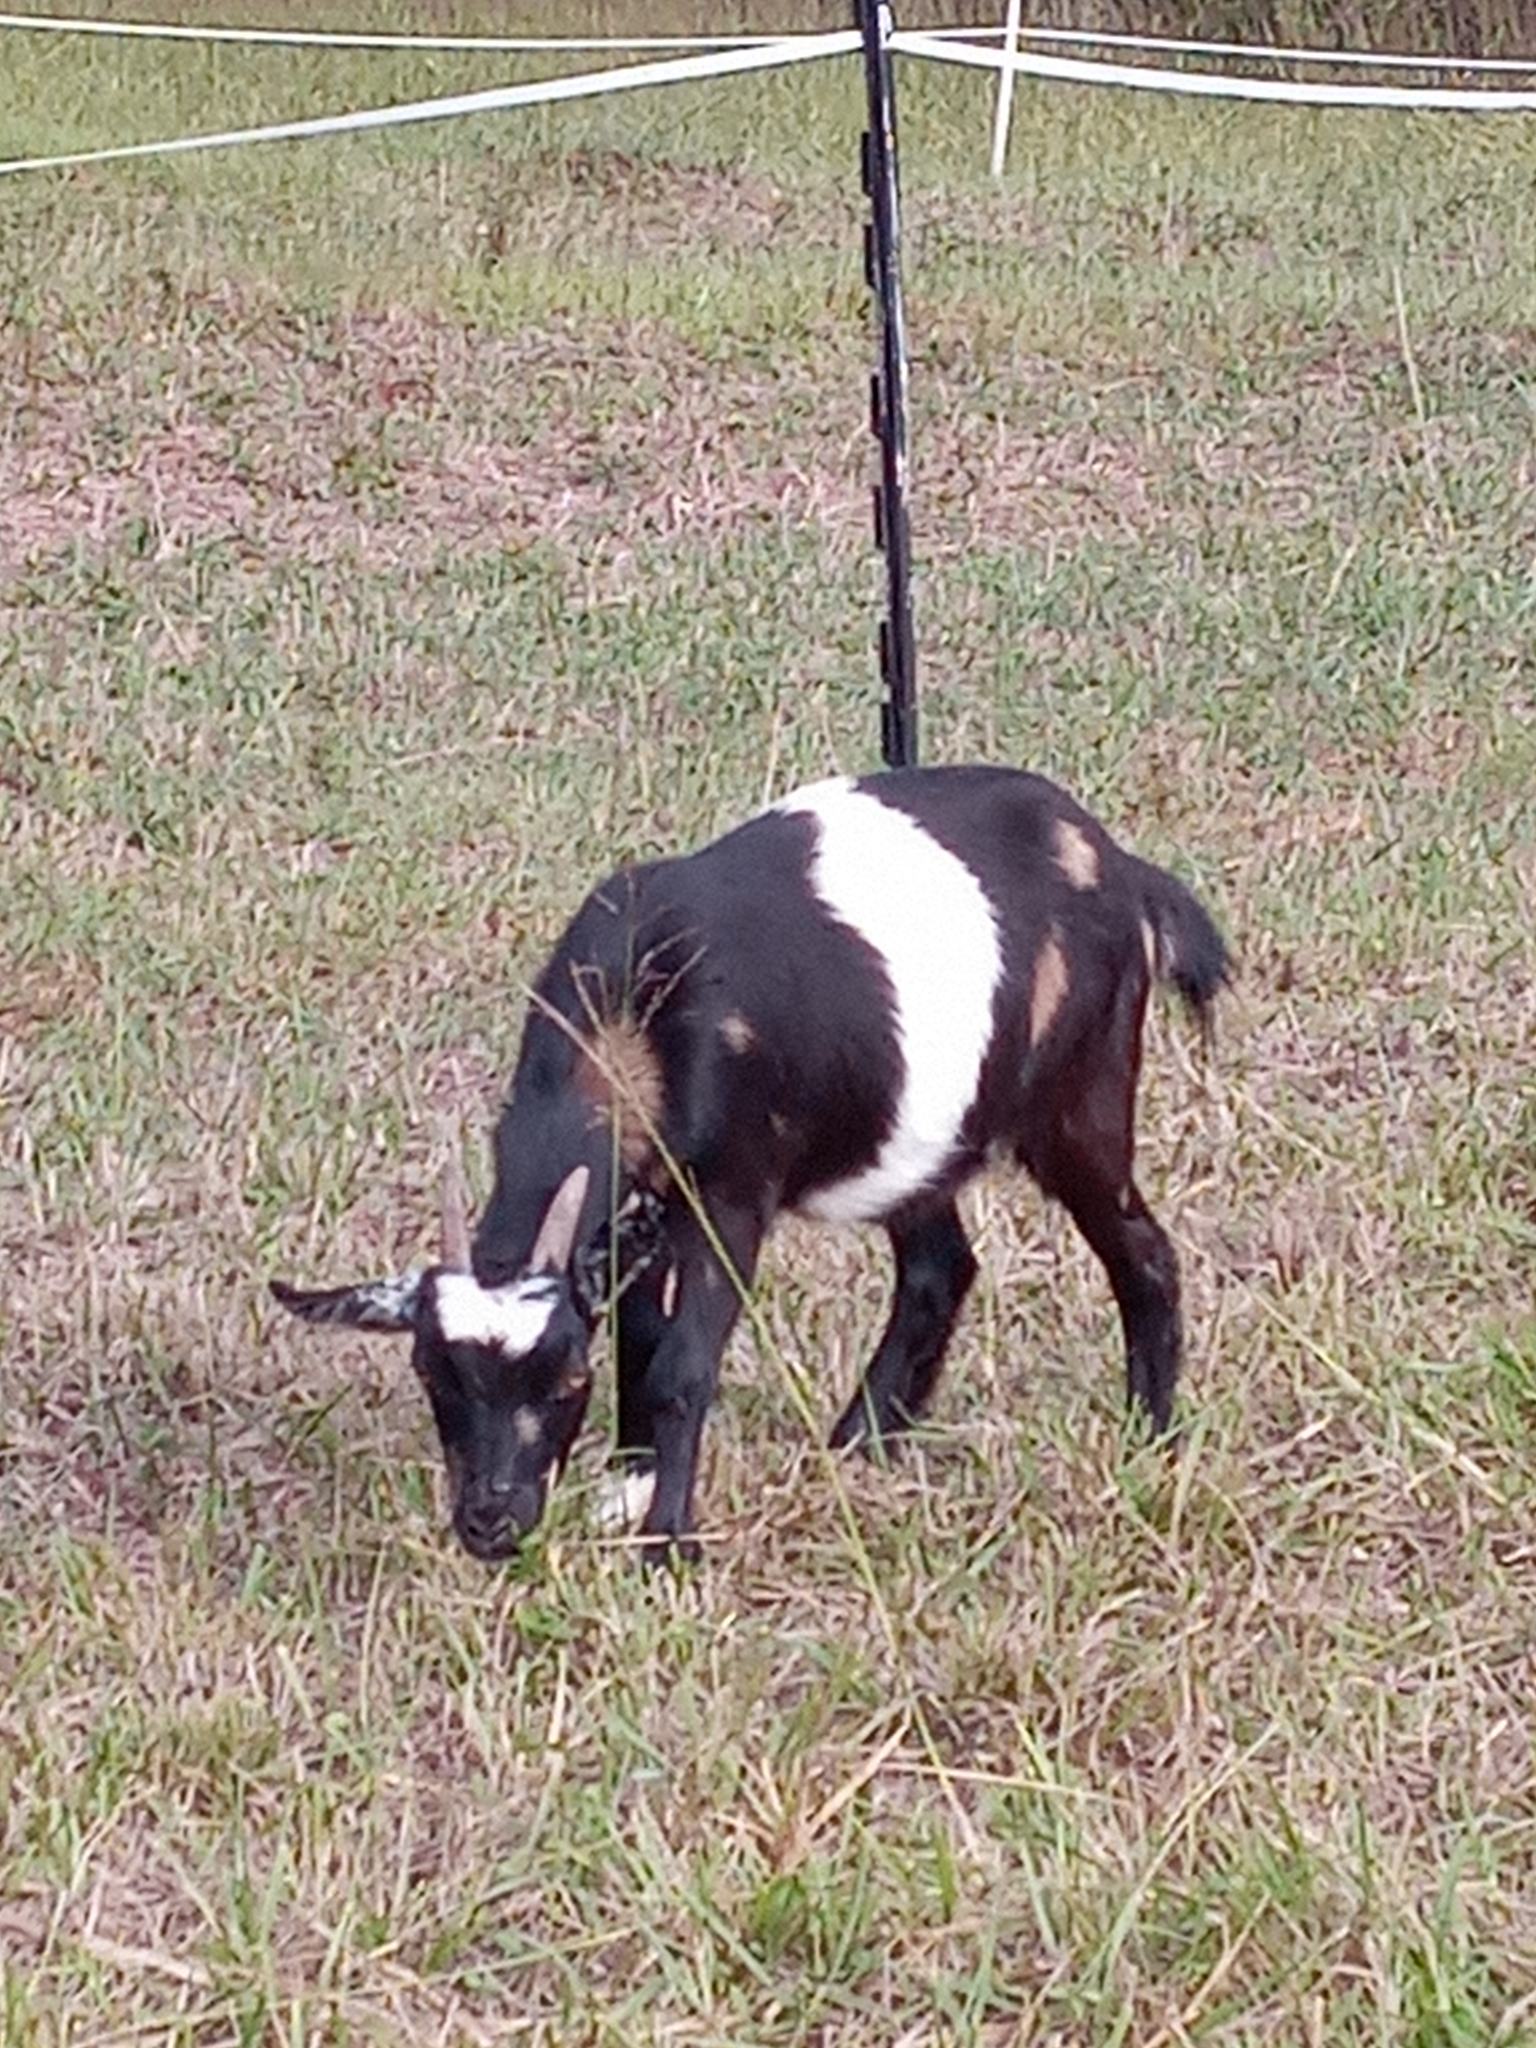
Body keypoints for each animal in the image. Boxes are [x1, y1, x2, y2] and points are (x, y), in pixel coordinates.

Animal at [272, 765, 1228, 1565]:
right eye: (432, 1374)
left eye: (567, 1377)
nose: (491, 1525)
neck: (635, 1013)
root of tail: (1121, 868)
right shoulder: (644, 1207)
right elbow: (644, 1336)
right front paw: (631, 1479)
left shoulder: (732, 1197)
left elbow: (682, 1363)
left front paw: (666, 1543)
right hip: (913, 1137)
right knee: (940, 1267)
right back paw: (860, 1443)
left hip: (1081, 1097)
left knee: (1142, 1251)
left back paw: (1148, 1436)